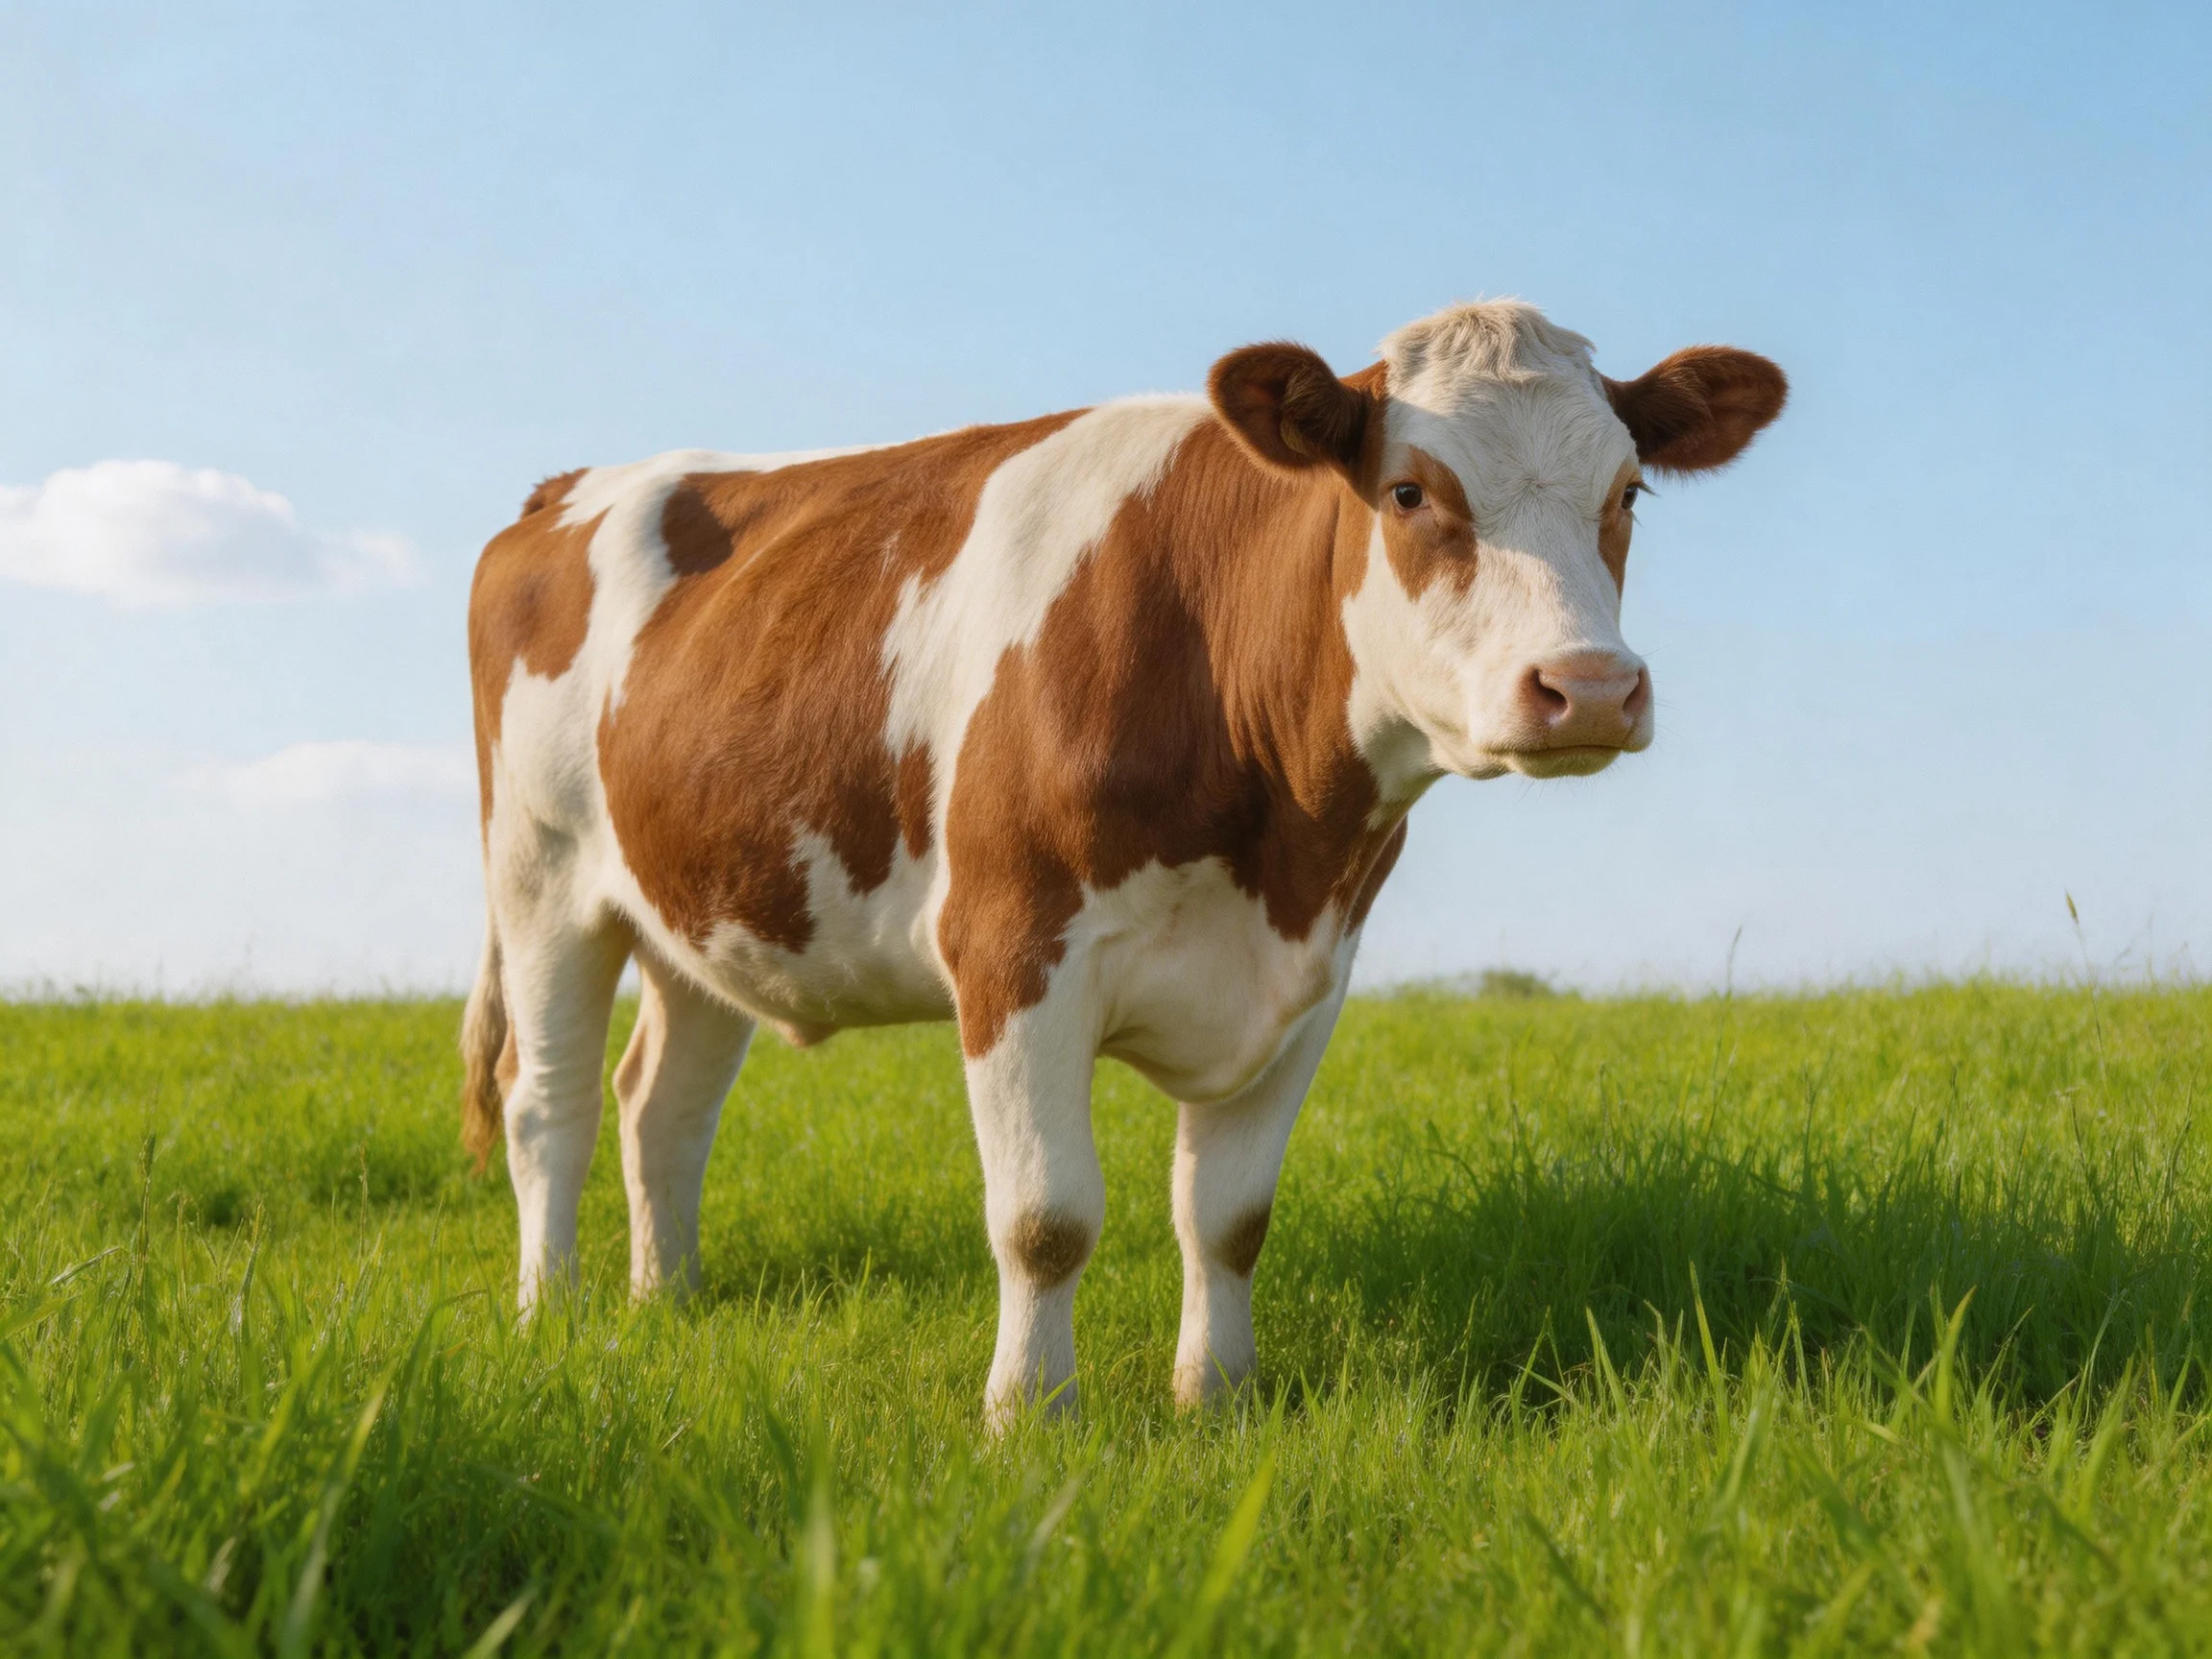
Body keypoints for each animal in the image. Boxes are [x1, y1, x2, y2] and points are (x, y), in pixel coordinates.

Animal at [461, 299, 1785, 1427]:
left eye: (1629, 492)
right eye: (1410, 491)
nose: (1590, 687)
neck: (1275, 831)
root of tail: (571, 488)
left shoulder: (1312, 974)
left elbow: (1230, 1218)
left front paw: (1218, 1401)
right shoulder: (1012, 948)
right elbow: (1046, 1218)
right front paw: (1030, 1417)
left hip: (704, 904)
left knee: (662, 1107)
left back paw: (666, 1301)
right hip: (541, 880)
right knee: (546, 1103)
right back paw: (551, 1313)